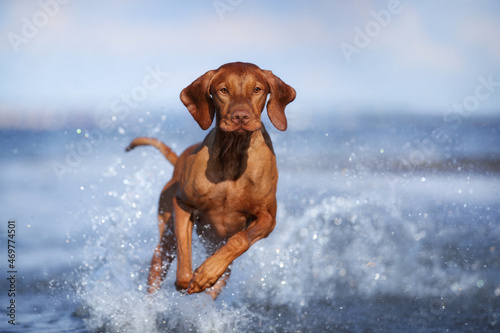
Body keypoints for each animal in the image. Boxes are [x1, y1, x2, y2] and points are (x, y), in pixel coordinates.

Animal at [127, 62, 294, 298]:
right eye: (223, 90)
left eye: (257, 89)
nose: (241, 117)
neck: (233, 154)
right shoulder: (183, 204)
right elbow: (184, 253)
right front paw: (189, 280)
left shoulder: (268, 218)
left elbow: (240, 239)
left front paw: (207, 273)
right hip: (165, 238)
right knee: (159, 264)